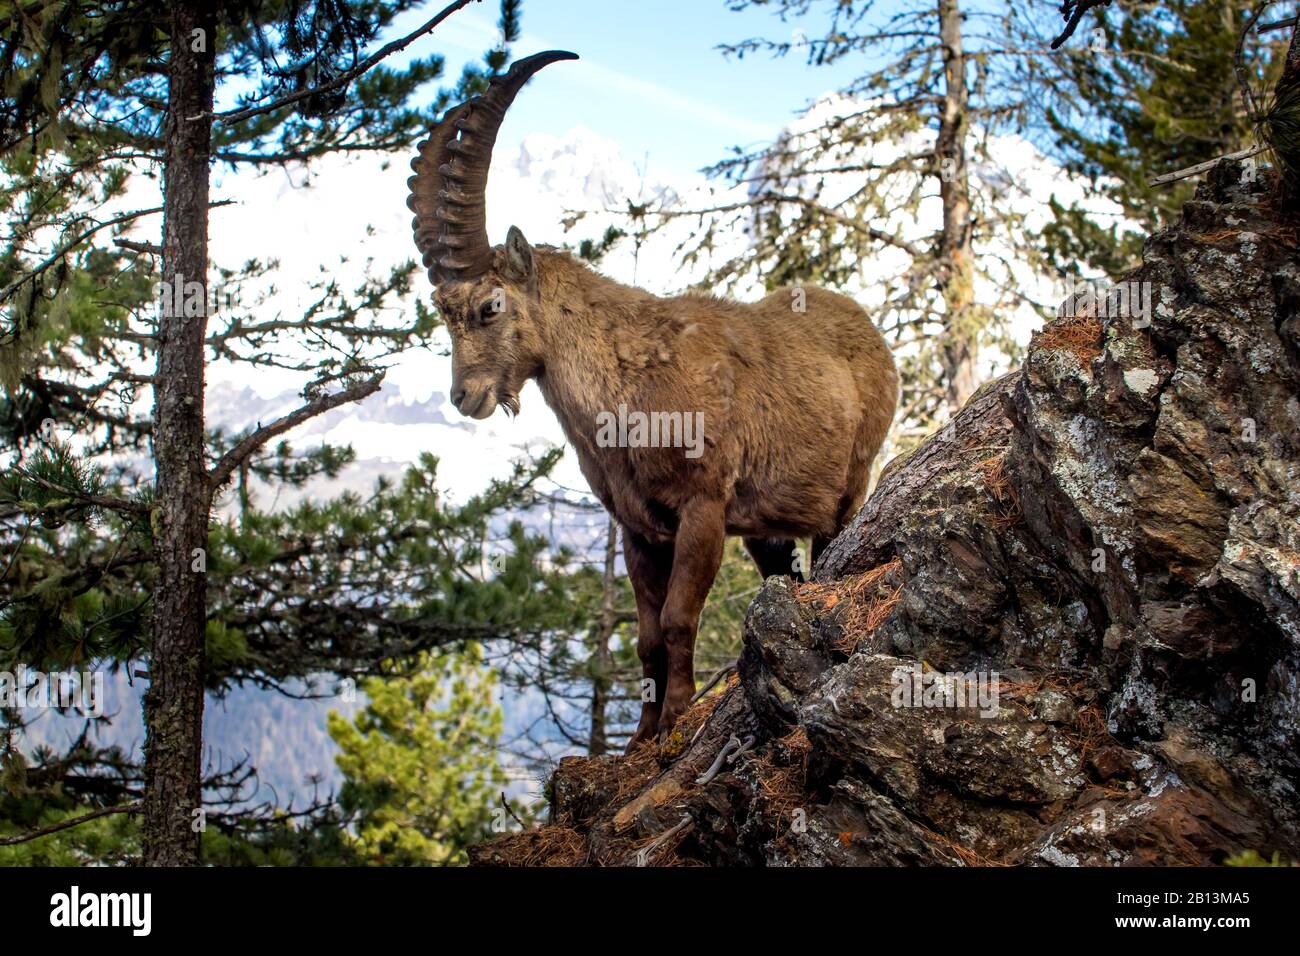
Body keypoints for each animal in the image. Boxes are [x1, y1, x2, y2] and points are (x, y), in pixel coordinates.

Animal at [407, 51, 898, 750]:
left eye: (490, 305)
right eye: (441, 311)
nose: (464, 396)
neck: (624, 388)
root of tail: (870, 331)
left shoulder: (703, 507)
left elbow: (675, 620)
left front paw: (674, 725)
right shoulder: (638, 527)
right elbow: (642, 637)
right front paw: (638, 736)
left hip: (850, 483)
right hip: (766, 527)